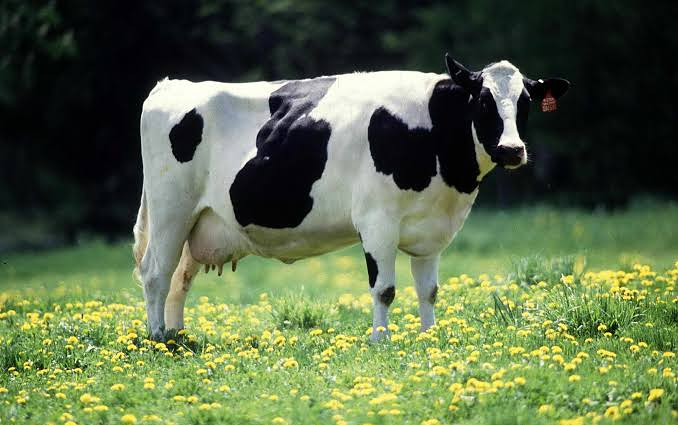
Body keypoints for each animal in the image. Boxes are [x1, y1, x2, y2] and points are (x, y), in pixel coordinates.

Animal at [133, 54, 569, 342]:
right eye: (482, 100)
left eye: (526, 102)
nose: (512, 150)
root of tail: (172, 85)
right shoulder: (377, 221)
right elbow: (385, 289)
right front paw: (380, 341)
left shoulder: (432, 229)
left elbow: (428, 289)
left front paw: (429, 337)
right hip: (171, 209)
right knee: (156, 273)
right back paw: (158, 338)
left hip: (198, 221)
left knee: (180, 278)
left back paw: (178, 336)